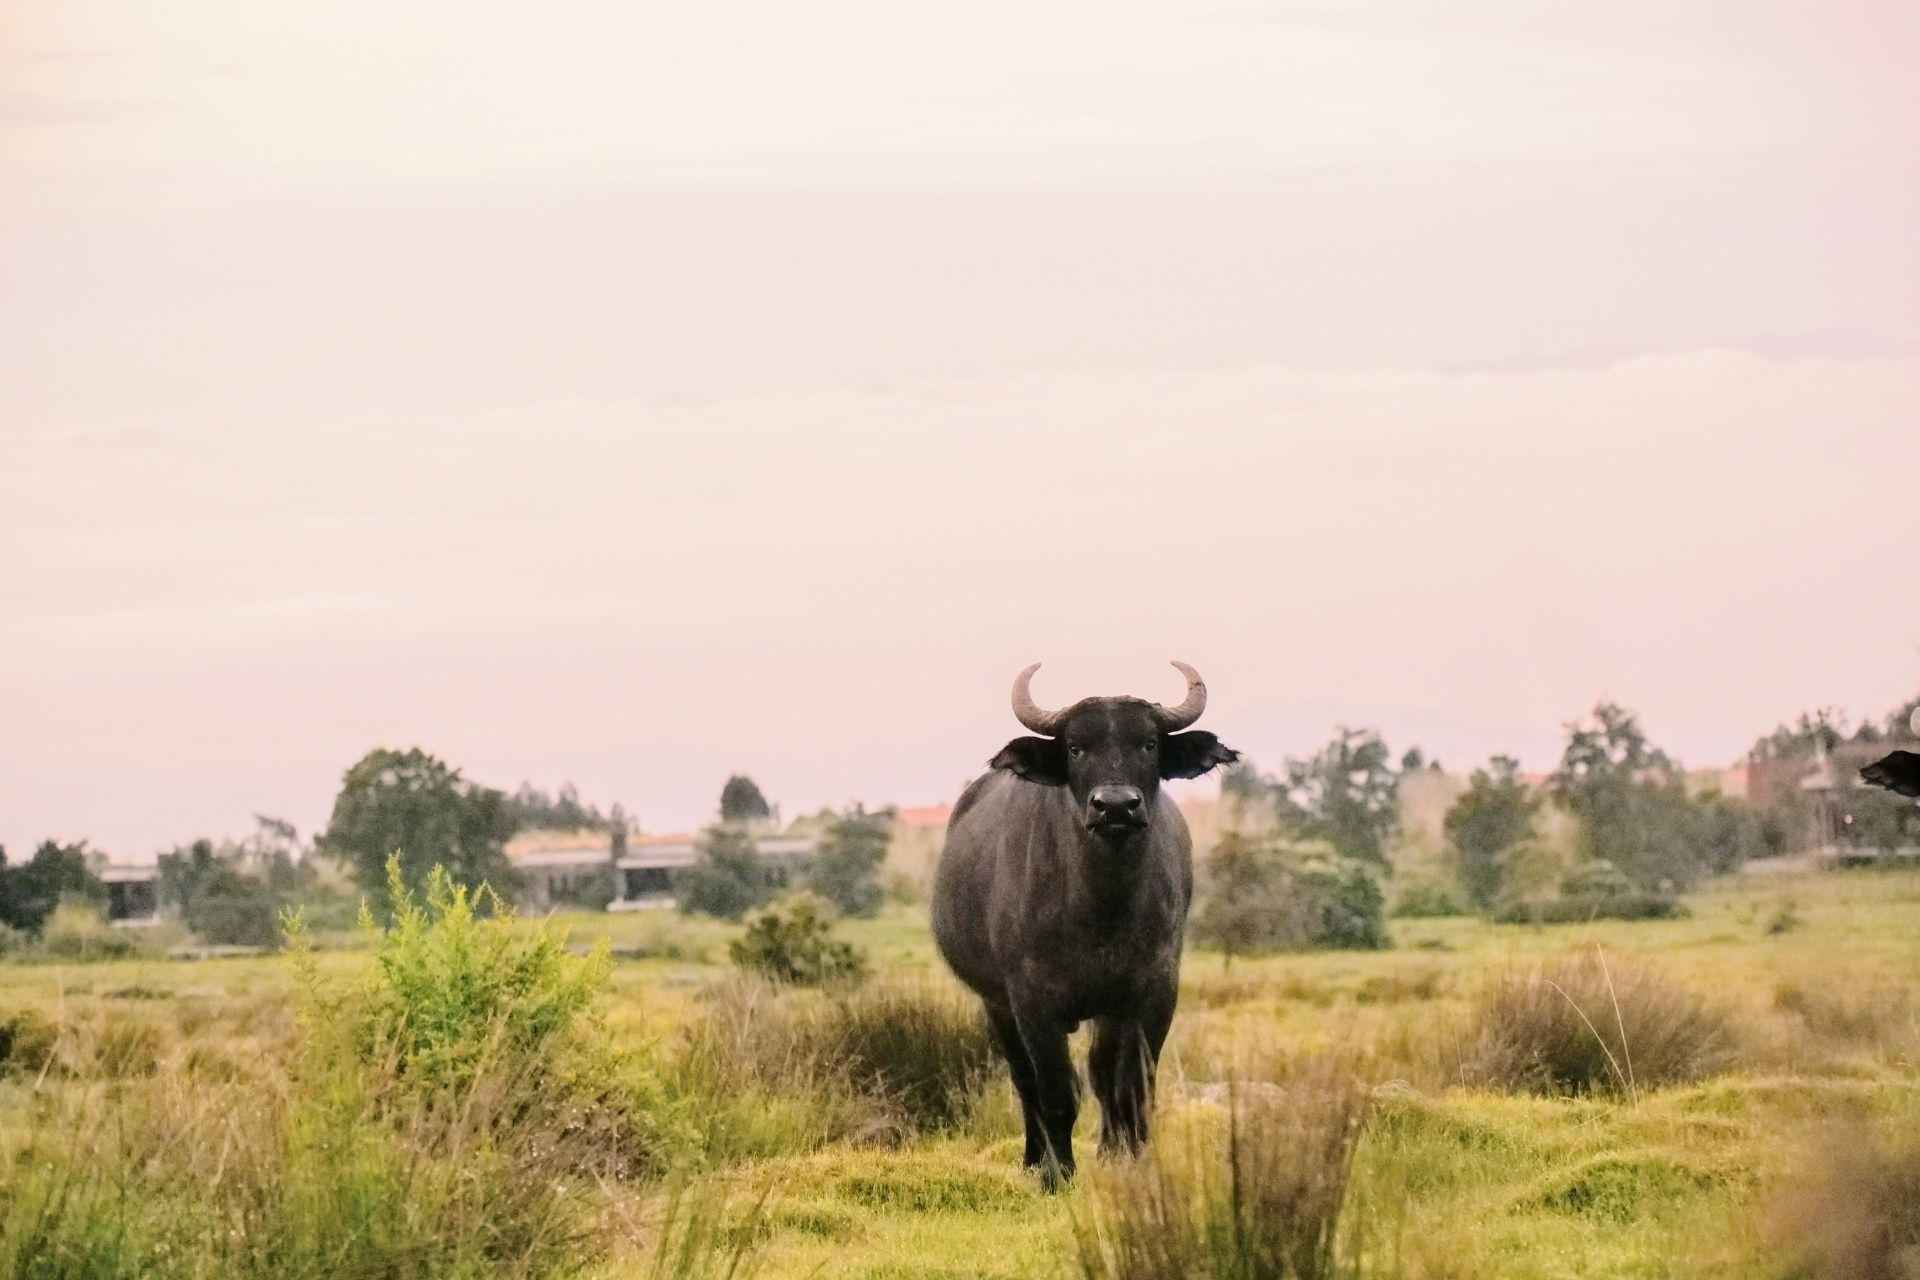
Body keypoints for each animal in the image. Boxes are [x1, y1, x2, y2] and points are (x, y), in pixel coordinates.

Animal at [933, 667, 1236, 1189]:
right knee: (1024, 1081)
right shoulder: (1032, 1001)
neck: (1103, 907)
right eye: (1075, 747)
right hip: (995, 1005)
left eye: (1148, 743)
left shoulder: (1151, 994)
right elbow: (1055, 1091)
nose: (1115, 807)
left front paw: (1132, 1160)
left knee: (1101, 1075)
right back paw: (1034, 1158)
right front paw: (1057, 1174)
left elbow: (1131, 1086)